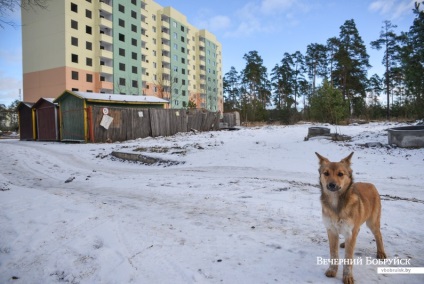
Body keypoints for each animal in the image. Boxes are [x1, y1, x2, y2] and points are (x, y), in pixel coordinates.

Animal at [314, 153, 388, 284]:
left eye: (340, 174)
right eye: (326, 173)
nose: (331, 185)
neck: (336, 205)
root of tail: (371, 184)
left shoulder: (350, 231)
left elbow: (348, 257)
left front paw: (347, 277)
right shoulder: (331, 230)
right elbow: (334, 254)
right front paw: (332, 270)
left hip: (372, 222)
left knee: (378, 235)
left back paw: (381, 252)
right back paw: (344, 243)